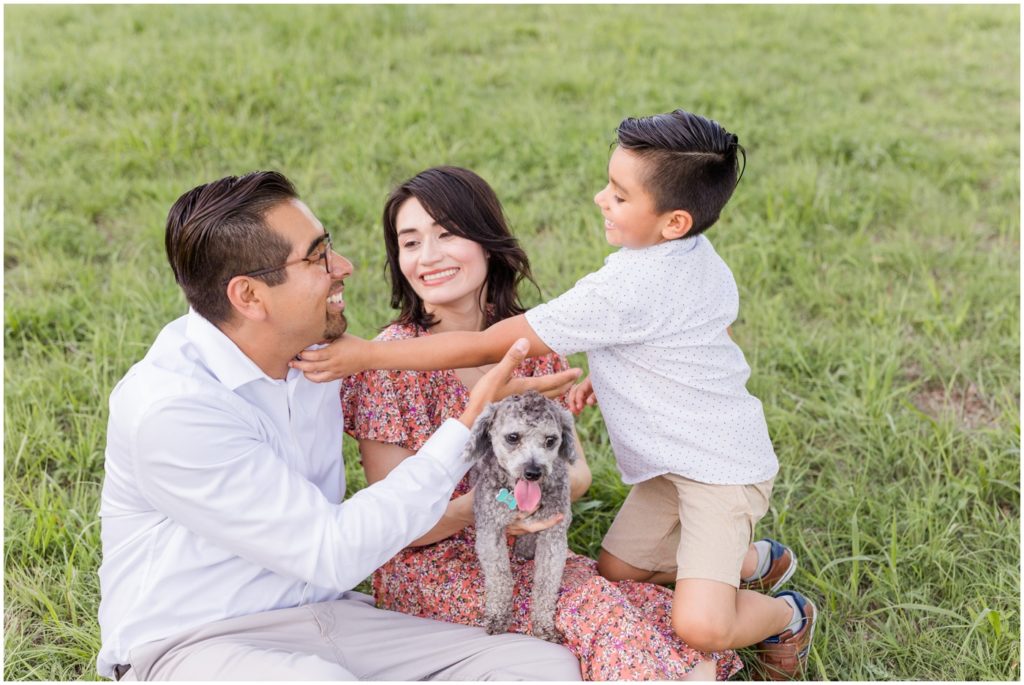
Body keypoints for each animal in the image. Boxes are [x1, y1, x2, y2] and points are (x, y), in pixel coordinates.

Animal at [464, 389, 577, 643]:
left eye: (550, 440)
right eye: (513, 437)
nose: (533, 472)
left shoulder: (554, 536)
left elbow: (546, 583)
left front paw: (544, 626)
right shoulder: (490, 531)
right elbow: (500, 577)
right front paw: (498, 616)